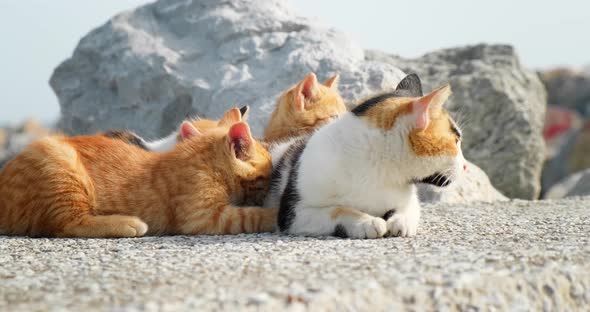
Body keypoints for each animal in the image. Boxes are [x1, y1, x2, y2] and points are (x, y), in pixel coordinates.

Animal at [264, 73, 468, 239]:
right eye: (456, 140)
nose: (466, 166)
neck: (378, 169)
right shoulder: (294, 213)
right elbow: (337, 210)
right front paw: (366, 222)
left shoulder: (410, 200)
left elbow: (407, 209)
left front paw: (400, 221)